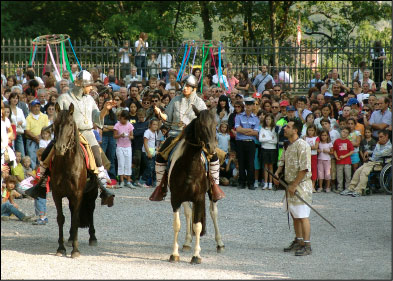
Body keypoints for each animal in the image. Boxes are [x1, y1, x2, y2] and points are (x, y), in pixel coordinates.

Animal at [51, 101, 99, 258]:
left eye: (70, 124)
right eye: (55, 123)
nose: (59, 148)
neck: (67, 163)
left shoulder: (78, 194)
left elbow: (76, 219)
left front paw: (75, 250)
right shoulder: (57, 194)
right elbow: (61, 218)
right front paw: (61, 248)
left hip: (91, 193)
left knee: (90, 209)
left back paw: (92, 237)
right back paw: (71, 238)